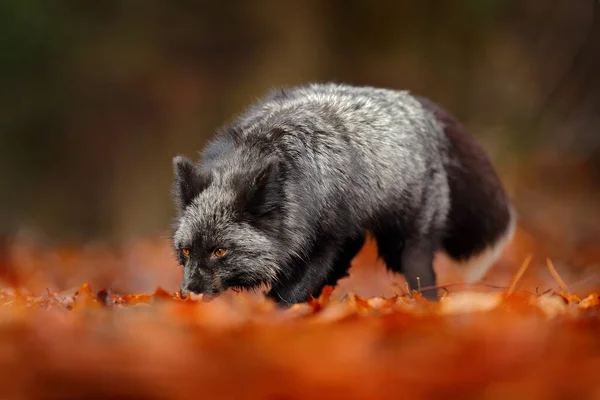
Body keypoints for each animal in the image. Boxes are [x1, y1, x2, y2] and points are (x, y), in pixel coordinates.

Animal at [170, 83, 516, 304]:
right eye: (186, 251)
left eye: (220, 251)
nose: (188, 293)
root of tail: (417, 103)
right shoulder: (327, 240)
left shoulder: (324, 241)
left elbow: (286, 295)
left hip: (405, 247)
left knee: (422, 278)